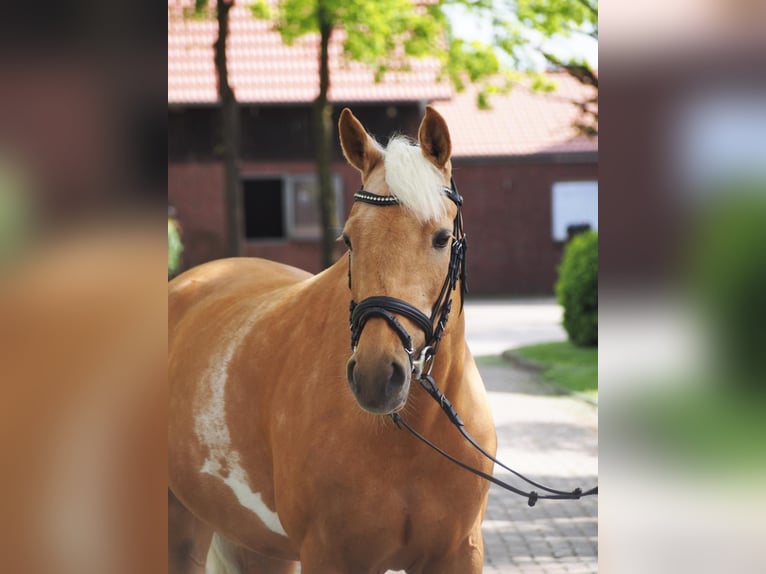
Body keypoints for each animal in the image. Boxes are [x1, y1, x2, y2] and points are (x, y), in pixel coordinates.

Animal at [168, 106, 497, 574]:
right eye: (349, 239)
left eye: (441, 238)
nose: (377, 377)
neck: (408, 440)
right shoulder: (330, 554)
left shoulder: (458, 553)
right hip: (180, 523)